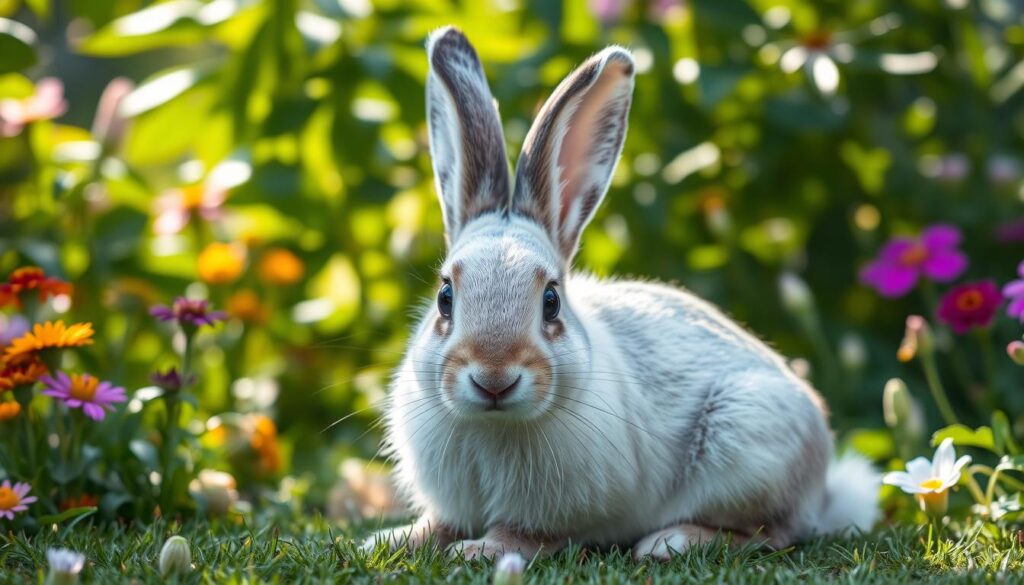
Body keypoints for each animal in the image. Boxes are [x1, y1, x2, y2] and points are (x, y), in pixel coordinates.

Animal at [362, 27, 880, 561]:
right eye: (445, 297)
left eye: (551, 301)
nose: (494, 378)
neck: (494, 423)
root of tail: (823, 486)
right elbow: (439, 524)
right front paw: (389, 540)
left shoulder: (556, 512)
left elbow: (523, 534)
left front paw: (481, 551)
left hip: (748, 447)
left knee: (774, 532)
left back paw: (670, 541)